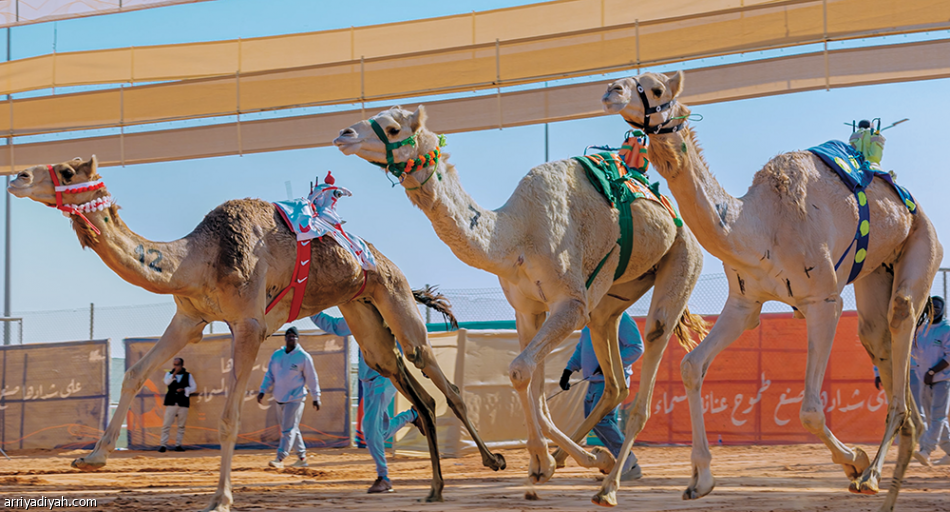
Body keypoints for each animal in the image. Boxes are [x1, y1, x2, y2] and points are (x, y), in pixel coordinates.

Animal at [3, 158, 510, 510]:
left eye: (66, 170)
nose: (18, 176)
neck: (198, 258)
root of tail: (380, 258)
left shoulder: (248, 324)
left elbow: (230, 416)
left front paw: (220, 498)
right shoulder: (189, 320)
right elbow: (134, 373)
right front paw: (90, 458)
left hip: (393, 293)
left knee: (432, 367)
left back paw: (493, 461)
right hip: (361, 312)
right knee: (406, 381)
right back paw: (435, 487)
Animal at [330, 107, 712, 504]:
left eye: (392, 128)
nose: (344, 134)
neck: (516, 236)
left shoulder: (570, 304)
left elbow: (518, 373)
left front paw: (545, 460)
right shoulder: (528, 310)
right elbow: (533, 388)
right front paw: (553, 462)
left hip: (682, 256)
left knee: (652, 346)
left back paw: (611, 486)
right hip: (611, 301)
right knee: (614, 382)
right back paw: (595, 460)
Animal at [604, 72, 936, 512]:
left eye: (656, 88)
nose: (611, 91)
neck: (759, 224)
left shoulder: (824, 300)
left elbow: (810, 411)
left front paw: (855, 460)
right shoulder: (745, 302)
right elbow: (691, 366)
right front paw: (701, 479)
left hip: (923, 241)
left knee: (901, 319)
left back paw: (871, 476)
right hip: (875, 274)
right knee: (876, 337)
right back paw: (892, 467)